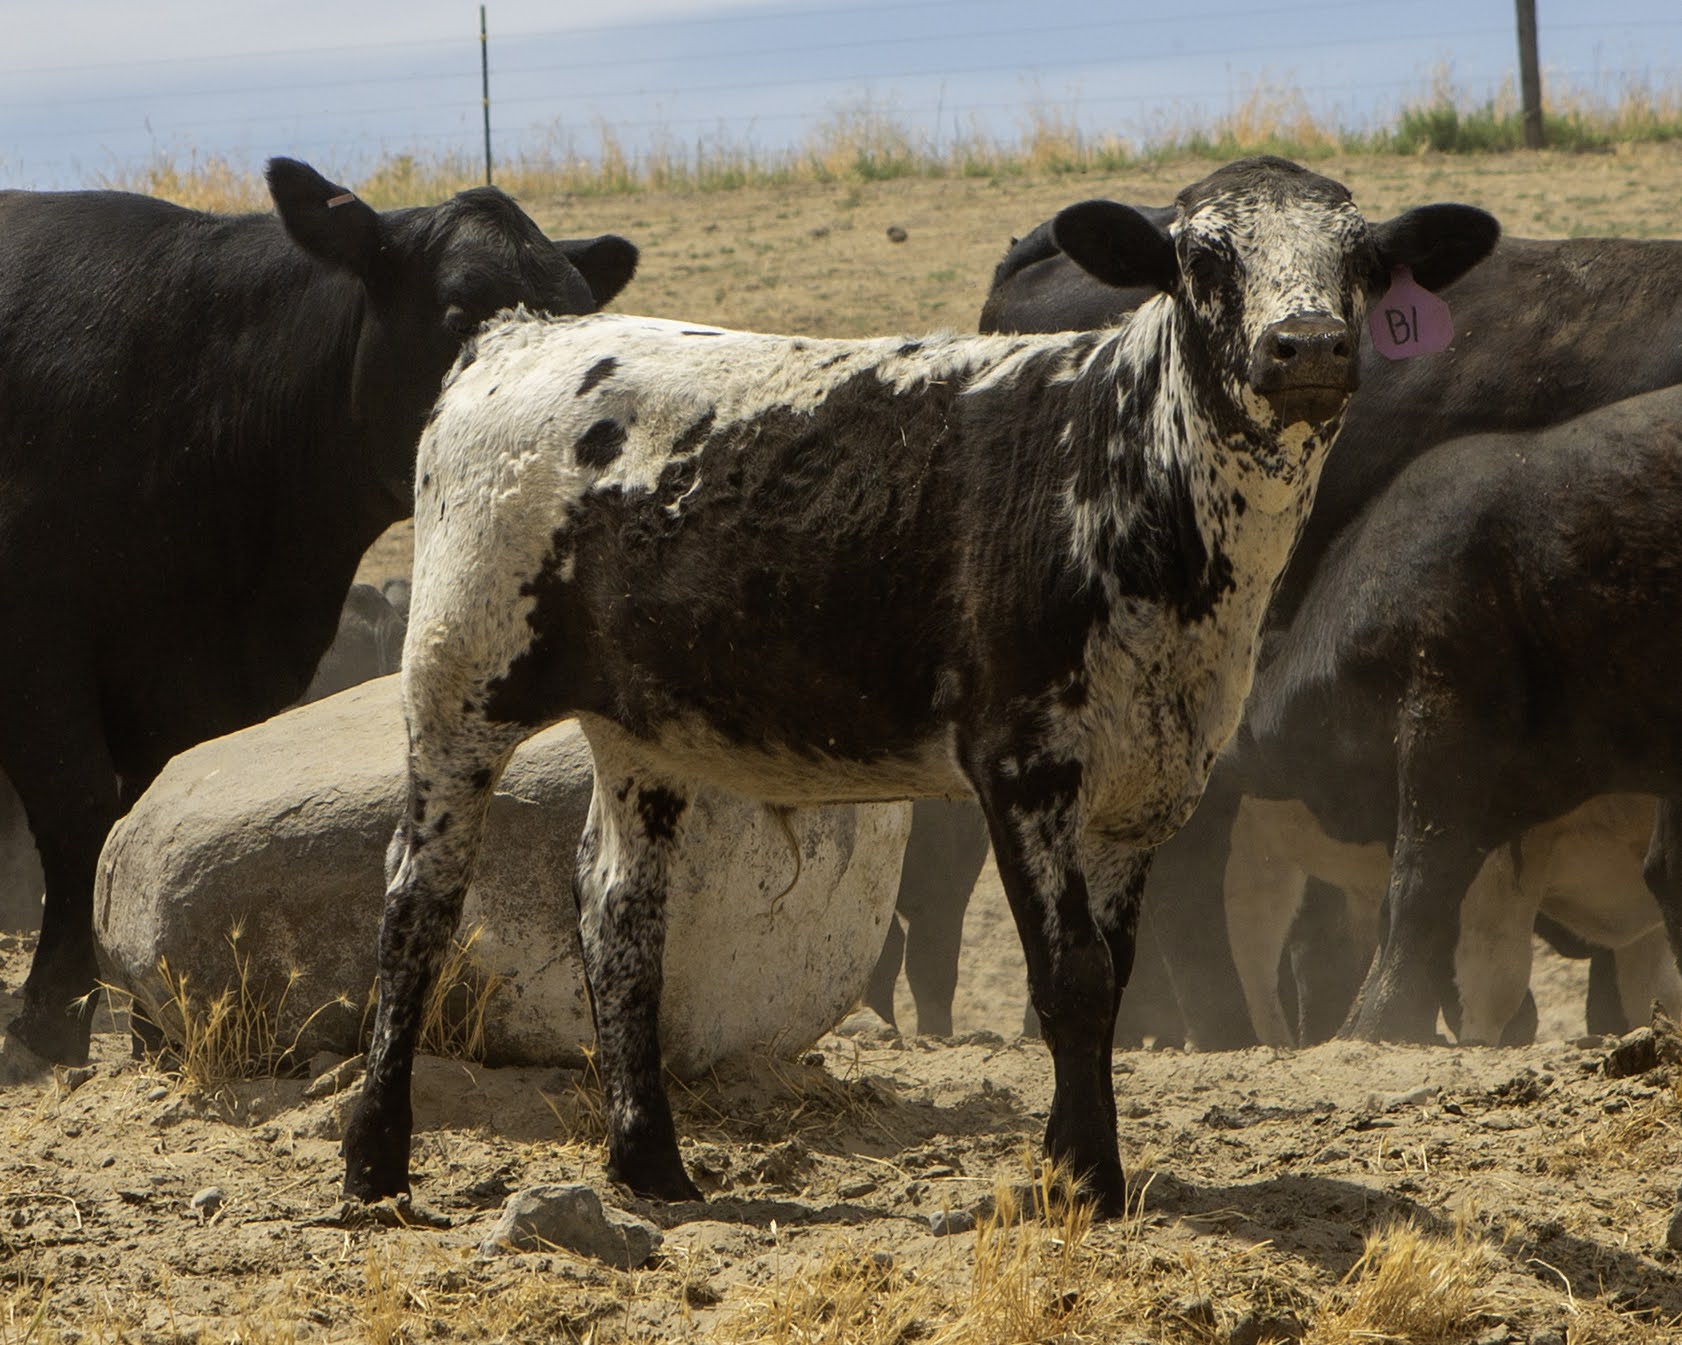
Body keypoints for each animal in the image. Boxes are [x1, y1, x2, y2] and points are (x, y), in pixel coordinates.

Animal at [337, 156, 1497, 1215]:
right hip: (457, 678)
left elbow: (1112, 975)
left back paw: (651, 1164)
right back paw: (374, 1164)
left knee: (620, 914)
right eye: (1204, 258)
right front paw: (1085, 1179)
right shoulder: (1021, 757)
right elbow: (1069, 978)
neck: (1135, 477)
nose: (1305, 344)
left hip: (641, 728)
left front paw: (1076, 1162)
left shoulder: (1146, 785)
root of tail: (517, 338)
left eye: (1361, 261)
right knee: (417, 902)